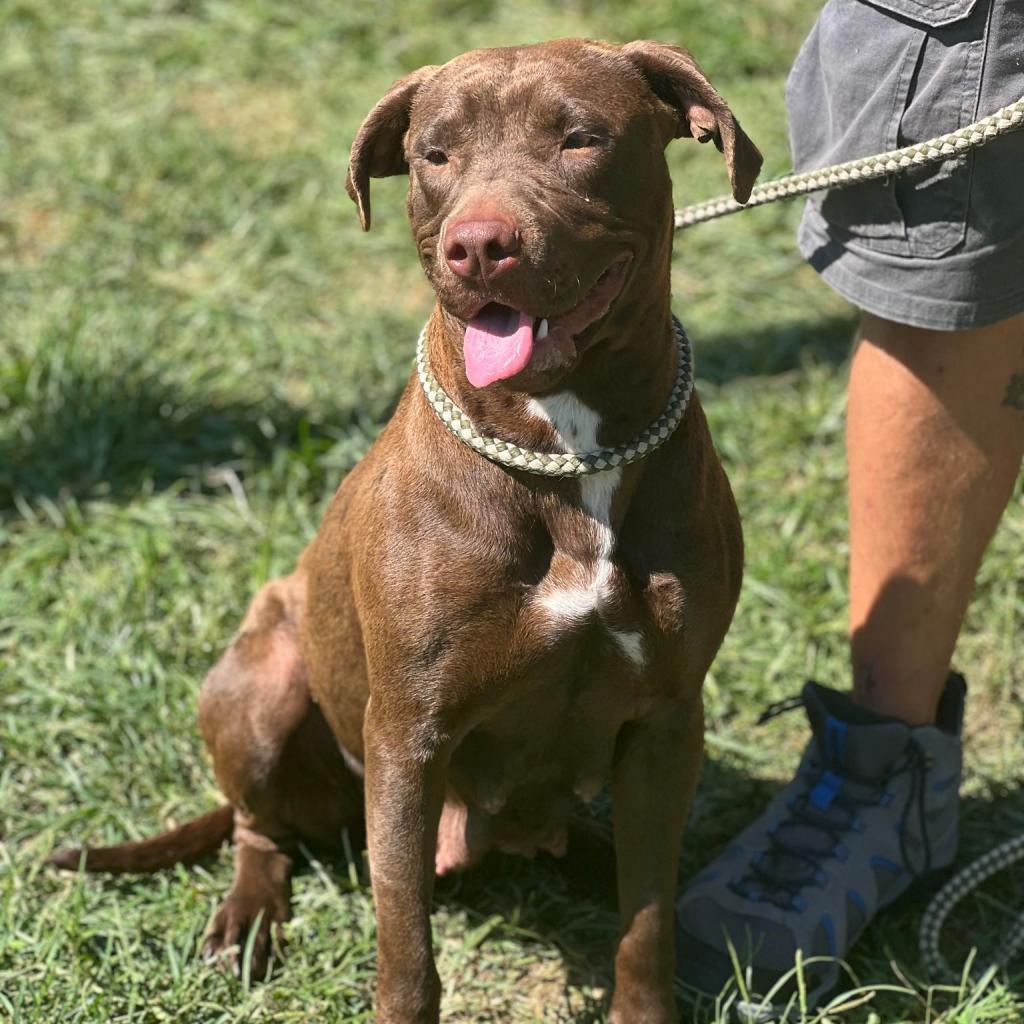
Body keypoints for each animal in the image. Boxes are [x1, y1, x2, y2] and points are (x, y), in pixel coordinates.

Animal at [49, 39, 761, 1024]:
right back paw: (247, 918)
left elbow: (646, 917)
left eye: (579, 138)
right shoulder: (408, 739)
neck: (564, 450)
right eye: (435, 154)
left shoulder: (666, 723)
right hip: (264, 684)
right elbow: (406, 946)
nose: (480, 245)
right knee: (259, 828)